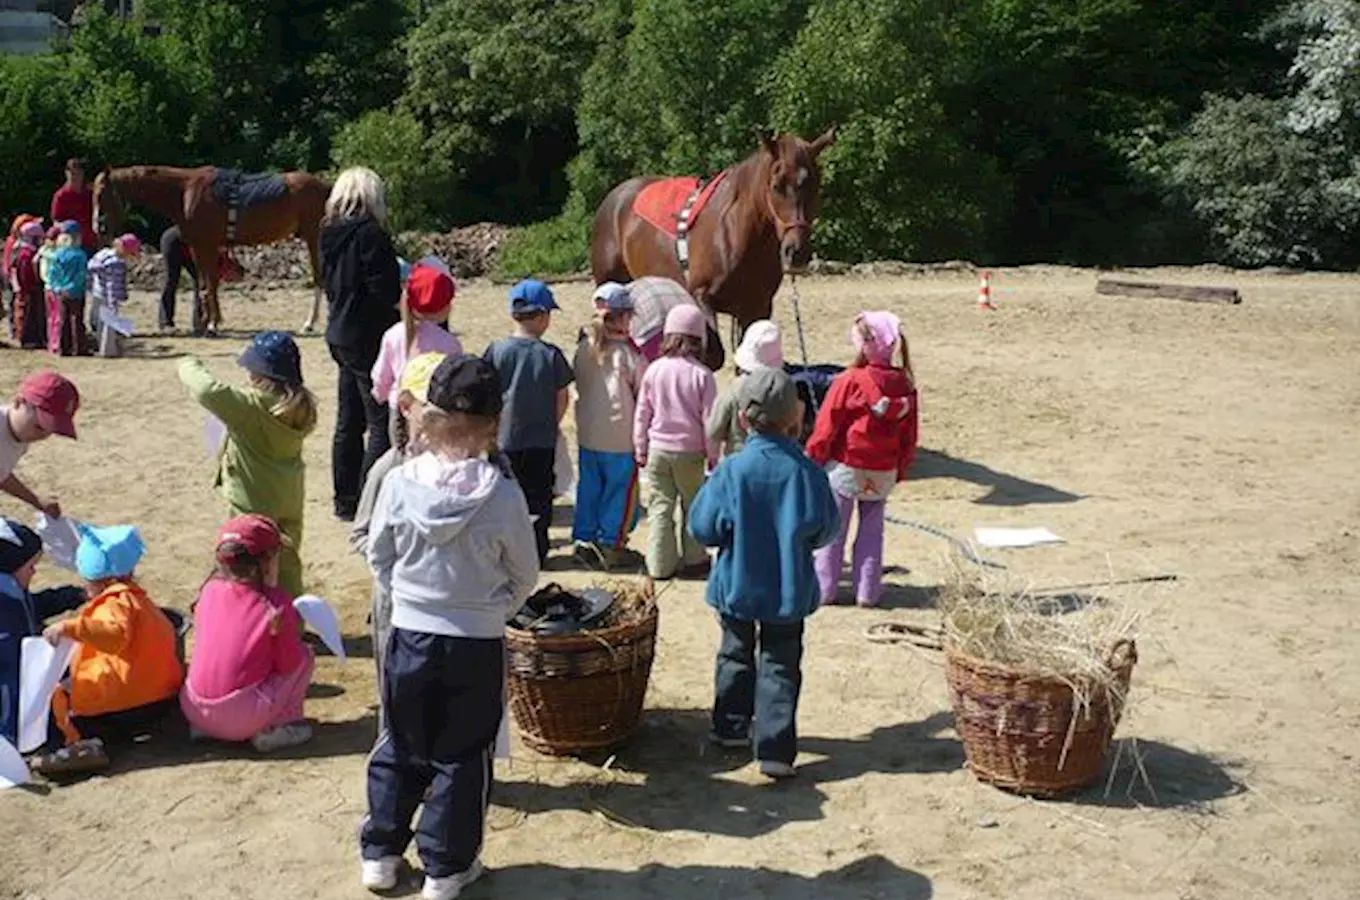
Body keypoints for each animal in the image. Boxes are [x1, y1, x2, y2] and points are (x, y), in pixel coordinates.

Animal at [91, 165, 329, 334]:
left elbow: (211, 283)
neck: (185, 191)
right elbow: (206, 284)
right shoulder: (199, 247)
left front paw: (212, 324)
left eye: (101, 192)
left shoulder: (206, 245)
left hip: (314, 238)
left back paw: (309, 323)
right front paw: (208, 322)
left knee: (319, 278)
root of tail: (325, 188)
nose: (97, 227)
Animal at [590, 127, 832, 358]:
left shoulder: (757, 308)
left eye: (816, 185)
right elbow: (712, 353)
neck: (735, 234)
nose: (797, 251)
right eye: (776, 186)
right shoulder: (701, 297)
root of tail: (615, 197)